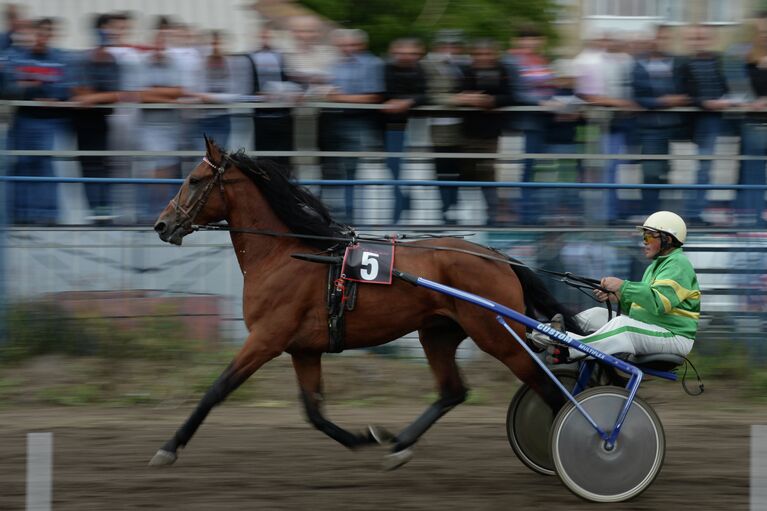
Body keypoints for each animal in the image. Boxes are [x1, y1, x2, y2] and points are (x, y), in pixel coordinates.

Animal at [148, 138, 584, 470]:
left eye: (194, 179)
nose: (162, 225)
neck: (285, 255)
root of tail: (497, 257)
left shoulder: (266, 339)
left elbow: (216, 389)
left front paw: (168, 448)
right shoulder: (303, 349)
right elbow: (314, 412)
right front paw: (365, 437)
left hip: (498, 336)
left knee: (546, 387)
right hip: (438, 333)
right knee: (452, 391)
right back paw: (399, 445)